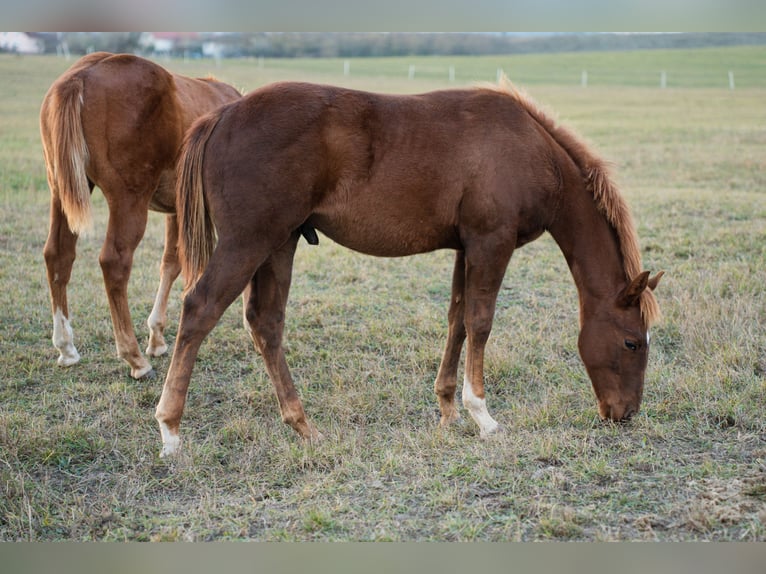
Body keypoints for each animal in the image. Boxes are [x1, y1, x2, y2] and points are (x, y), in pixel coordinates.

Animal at [40, 52, 241, 379]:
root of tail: (80, 76)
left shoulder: (178, 210)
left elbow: (170, 263)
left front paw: (157, 335)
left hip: (61, 193)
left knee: (57, 256)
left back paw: (66, 347)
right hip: (128, 201)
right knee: (114, 263)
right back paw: (133, 357)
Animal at [155, 77, 663, 456]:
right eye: (632, 343)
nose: (625, 414)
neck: (529, 148)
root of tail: (222, 115)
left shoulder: (466, 247)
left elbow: (458, 320)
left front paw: (448, 410)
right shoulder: (491, 243)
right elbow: (481, 322)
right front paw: (482, 415)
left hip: (278, 244)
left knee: (266, 323)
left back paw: (302, 425)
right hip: (249, 242)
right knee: (199, 310)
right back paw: (170, 429)